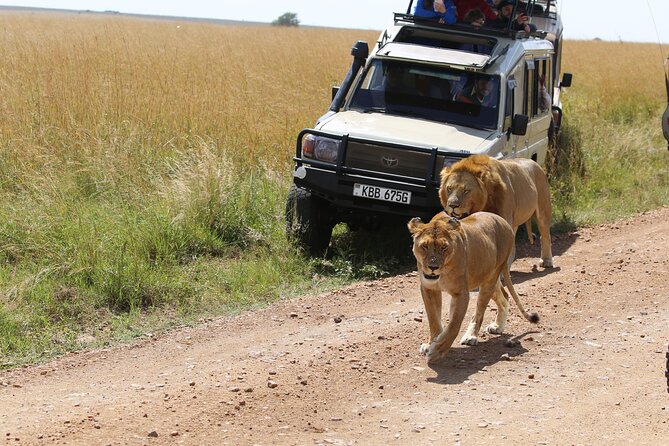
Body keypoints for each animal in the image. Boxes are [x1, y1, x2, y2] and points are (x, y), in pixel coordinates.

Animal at [408, 213, 536, 362]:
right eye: (424, 246)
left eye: (444, 247)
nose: (433, 267)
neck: (442, 274)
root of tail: (504, 222)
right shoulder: (429, 289)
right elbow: (433, 320)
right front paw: (431, 343)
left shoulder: (461, 293)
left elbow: (454, 325)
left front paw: (437, 350)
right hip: (487, 278)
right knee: (504, 296)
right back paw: (497, 326)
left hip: (490, 280)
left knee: (479, 313)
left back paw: (471, 336)